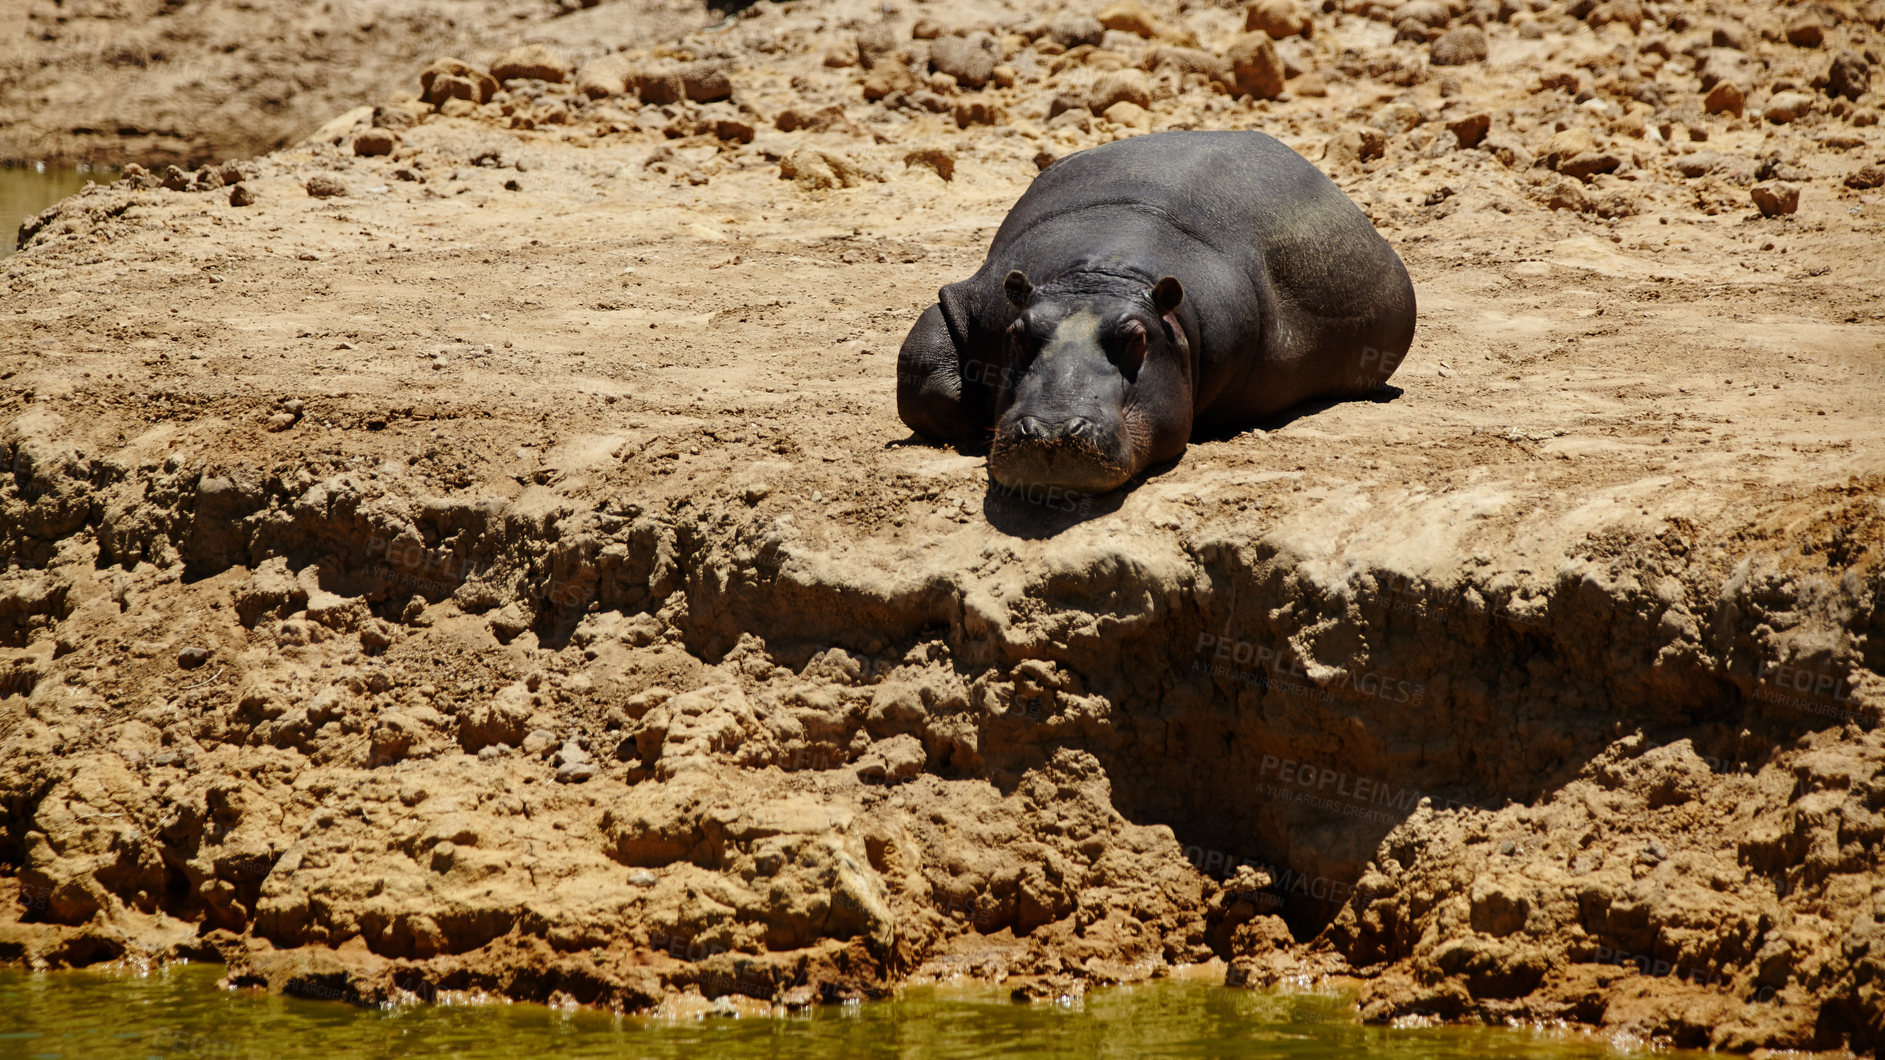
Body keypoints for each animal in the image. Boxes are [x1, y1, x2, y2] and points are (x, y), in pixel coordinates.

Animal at [893, 130, 1417, 494]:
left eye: (1138, 337)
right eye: (1018, 332)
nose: (1051, 432)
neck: (1103, 274)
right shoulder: (976, 303)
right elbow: (924, 369)